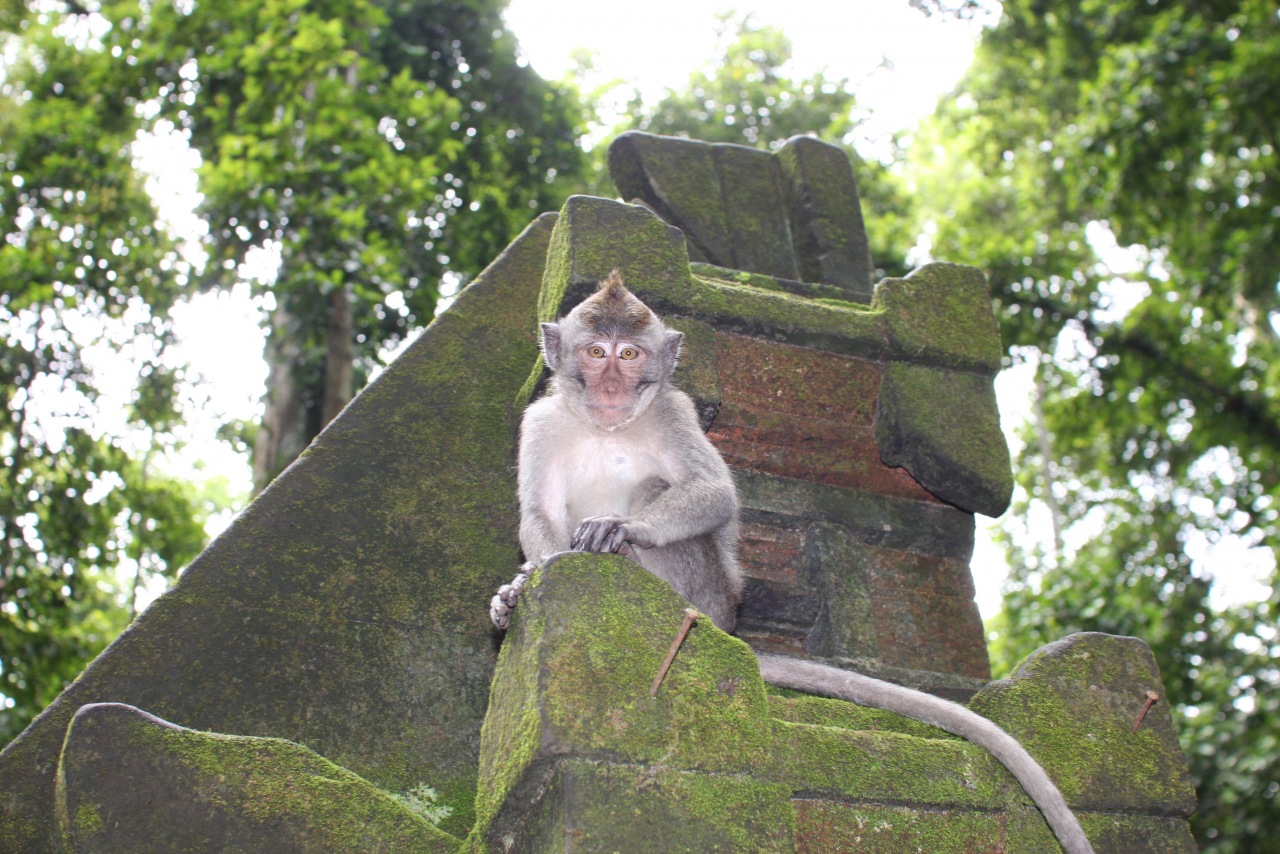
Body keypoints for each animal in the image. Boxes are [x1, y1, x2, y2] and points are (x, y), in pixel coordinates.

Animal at [489, 272, 1094, 854]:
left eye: (630, 355)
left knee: (658, 493)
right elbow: (538, 513)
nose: (611, 386)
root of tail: (730, 627)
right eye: (596, 352)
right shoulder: (540, 422)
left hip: (708, 598)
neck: (605, 426)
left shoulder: (674, 411)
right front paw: (522, 584)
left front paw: (623, 530)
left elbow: (714, 495)